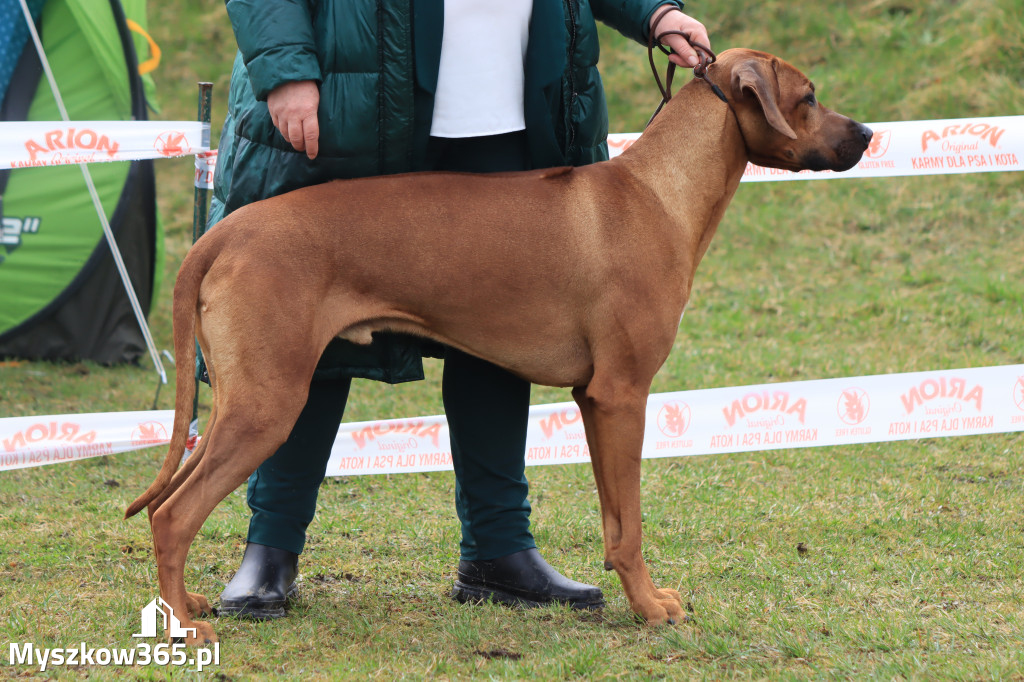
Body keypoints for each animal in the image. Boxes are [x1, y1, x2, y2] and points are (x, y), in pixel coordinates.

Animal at [123, 49, 868, 643]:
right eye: (808, 97)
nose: (865, 133)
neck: (659, 191)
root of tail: (224, 232)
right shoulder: (623, 394)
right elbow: (631, 526)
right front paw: (650, 608)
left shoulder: (594, 399)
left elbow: (612, 519)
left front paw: (638, 595)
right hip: (269, 402)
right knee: (174, 516)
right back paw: (183, 624)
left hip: (235, 399)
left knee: (164, 503)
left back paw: (185, 602)